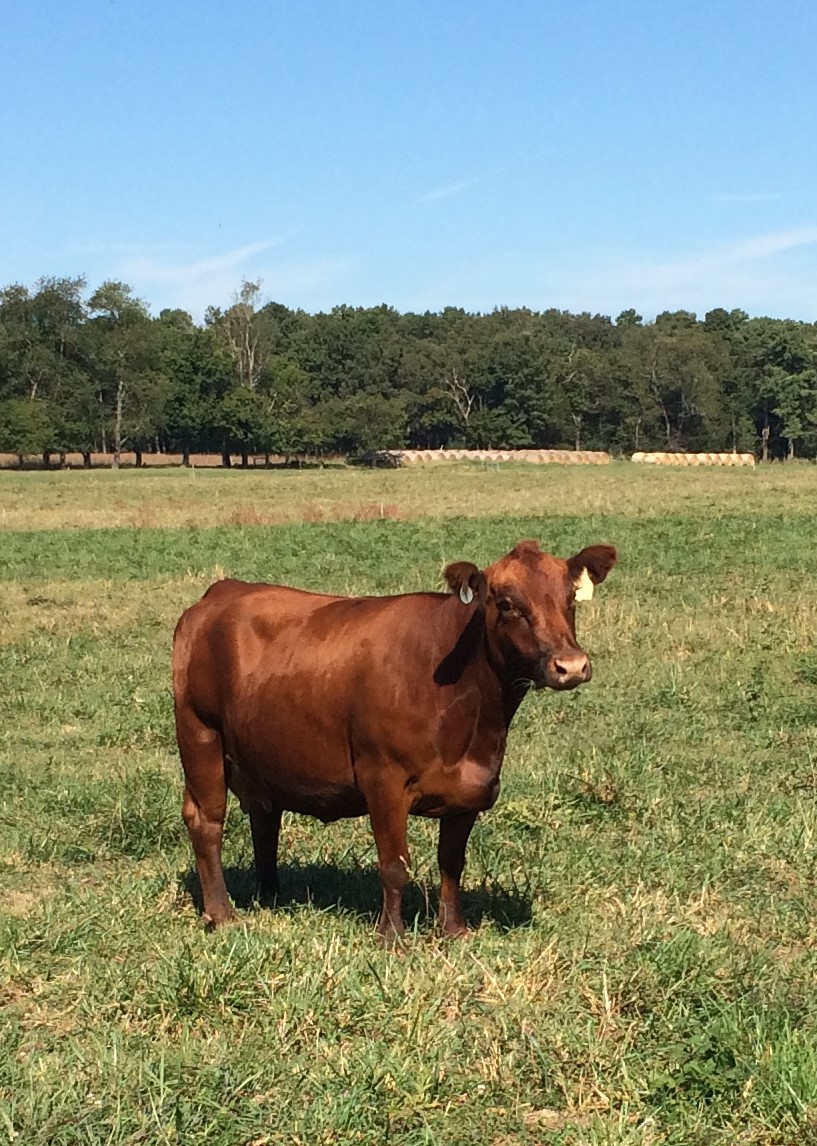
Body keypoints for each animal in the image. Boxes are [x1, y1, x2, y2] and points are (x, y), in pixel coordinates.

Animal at [174, 540, 618, 944]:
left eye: (570, 599)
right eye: (507, 603)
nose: (571, 666)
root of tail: (222, 591)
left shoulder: (471, 789)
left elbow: (451, 862)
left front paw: (454, 930)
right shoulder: (383, 780)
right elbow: (394, 863)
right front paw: (392, 936)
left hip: (266, 753)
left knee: (265, 818)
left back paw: (270, 896)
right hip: (200, 734)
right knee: (206, 820)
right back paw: (222, 914)